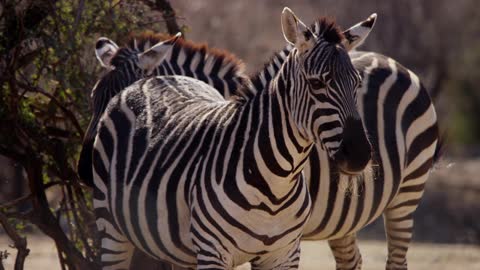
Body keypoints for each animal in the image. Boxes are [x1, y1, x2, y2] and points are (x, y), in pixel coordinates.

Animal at [91, 7, 376, 268]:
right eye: (317, 84)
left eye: (357, 83)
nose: (360, 155)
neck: (276, 185)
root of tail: (148, 81)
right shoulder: (212, 251)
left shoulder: (285, 254)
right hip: (111, 230)